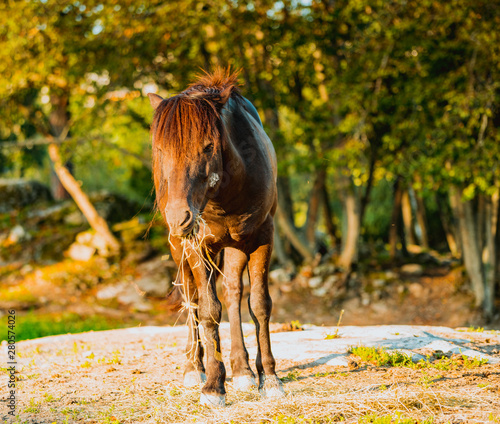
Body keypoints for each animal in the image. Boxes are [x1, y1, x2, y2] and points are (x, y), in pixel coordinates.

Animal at [146, 70, 284, 408]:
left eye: (208, 146)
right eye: (161, 150)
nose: (178, 217)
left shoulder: (263, 236)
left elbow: (259, 304)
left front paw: (269, 377)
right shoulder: (196, 245)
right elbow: (208, 310)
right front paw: (212, 385)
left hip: (234, 246)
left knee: (233, 294)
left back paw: (243, 370)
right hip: (179, 248)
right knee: (192, 298)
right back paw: (193, 367)